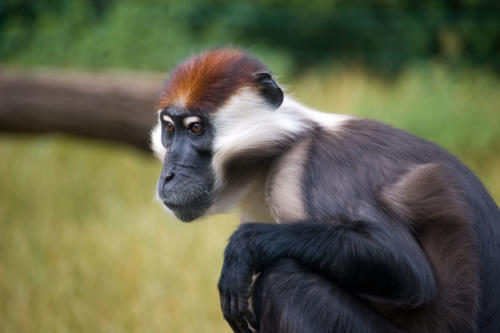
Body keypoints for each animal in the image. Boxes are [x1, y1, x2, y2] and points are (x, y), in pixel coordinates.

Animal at [150, 47, 500, 332]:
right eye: (169, 128)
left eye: (196, 128)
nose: (168, 175)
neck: (277, 154)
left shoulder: (316, 170)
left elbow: (408, 270)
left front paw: (243, 248)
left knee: (283, 281)